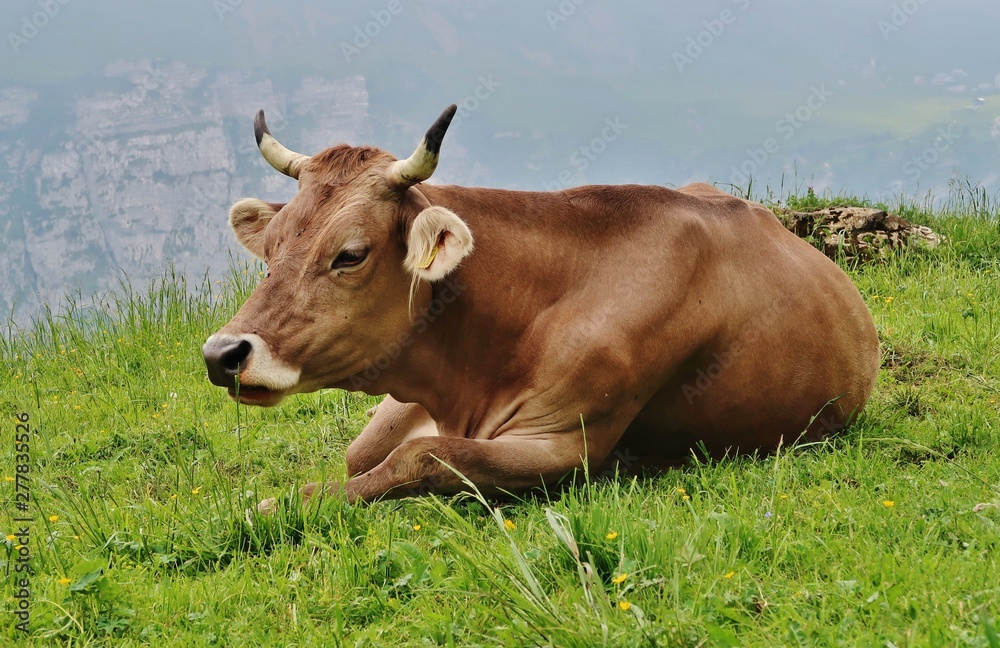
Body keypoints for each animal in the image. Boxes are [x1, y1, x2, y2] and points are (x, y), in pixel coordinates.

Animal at [201, 104, 876, 508]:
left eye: (350, 254)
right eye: (273, 247)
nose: (221, 353)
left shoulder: (564, 445)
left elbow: (418, 457)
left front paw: (276, 503)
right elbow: (364, 454)